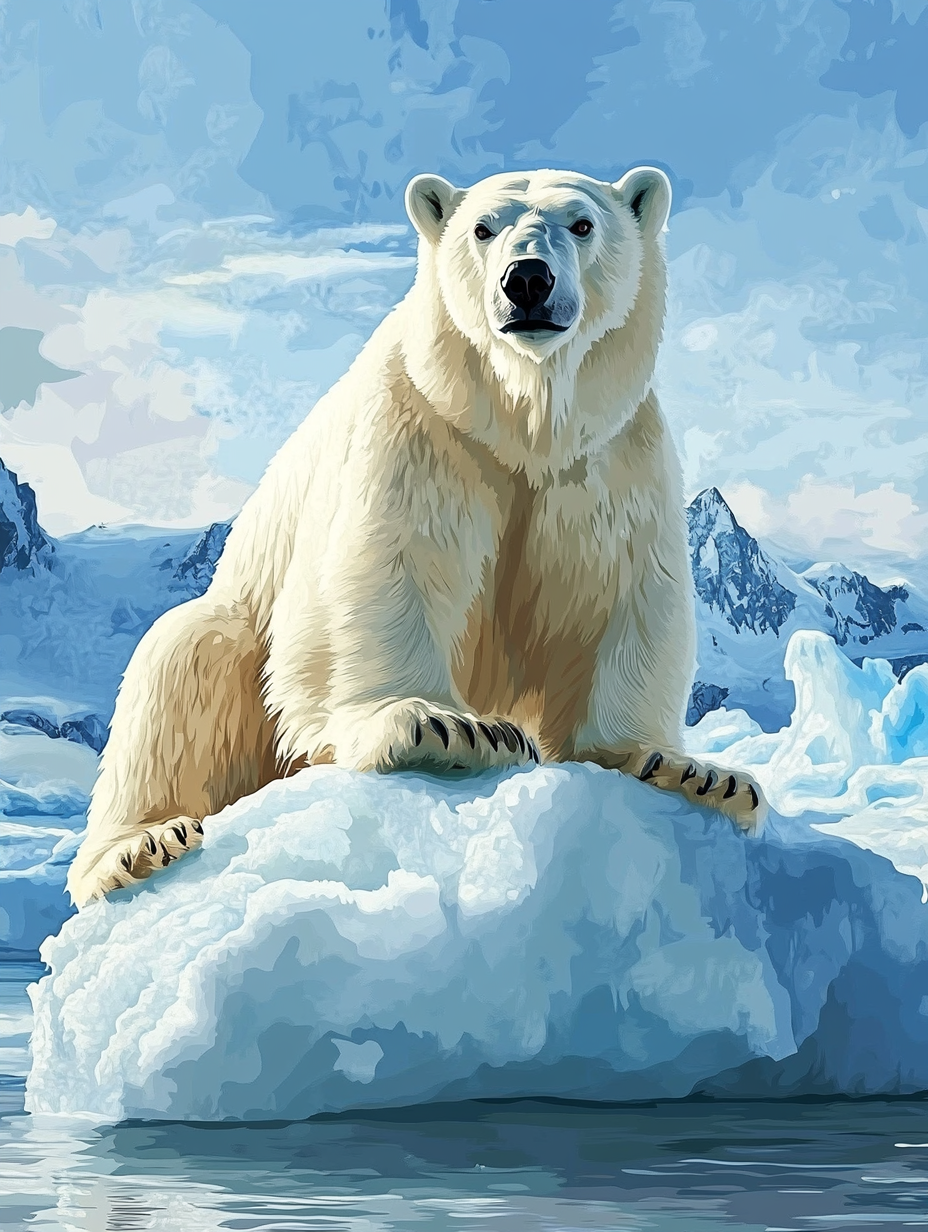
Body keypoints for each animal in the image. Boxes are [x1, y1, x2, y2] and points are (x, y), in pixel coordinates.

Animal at [66, 165, 766, 907]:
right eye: (483, 228)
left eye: (581, 224)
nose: (527, 278)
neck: (523, 423)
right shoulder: (422, 427)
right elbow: (389, 562)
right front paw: (449, 726)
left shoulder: (611, 460)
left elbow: (627, 592)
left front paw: (694, 772)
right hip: (230, 637)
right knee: (179, 667)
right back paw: (139, 847)